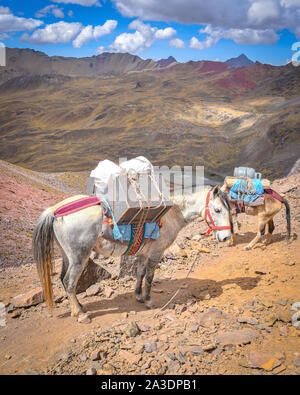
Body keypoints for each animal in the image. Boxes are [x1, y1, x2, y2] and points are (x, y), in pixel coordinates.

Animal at [32, 185, 231, 322]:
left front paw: (138, 296)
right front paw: (149, 300)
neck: (171, 214)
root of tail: (55, 211)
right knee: (69, 282)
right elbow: (149, 277)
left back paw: (80, 307)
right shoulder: (156, 253)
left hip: (68, 256)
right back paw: (80, 315)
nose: (226, 237)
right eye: (217, 210)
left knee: (63, 279)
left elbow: (140, 273)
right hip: (79, 257)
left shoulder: (143, 253)